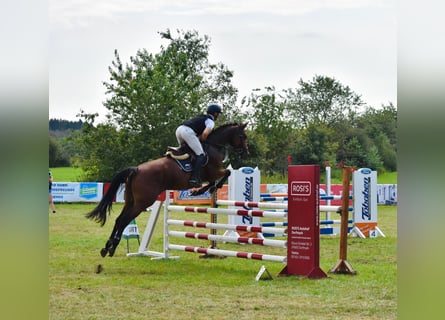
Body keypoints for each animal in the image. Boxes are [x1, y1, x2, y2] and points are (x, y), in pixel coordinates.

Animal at [85, 122, 248, 258]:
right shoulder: (213, 172)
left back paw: (107, 247)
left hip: (130, 201)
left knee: (119, 219)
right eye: (242, 136)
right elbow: (227, 173)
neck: (212, 145)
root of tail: (136, 169)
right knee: (124, 220)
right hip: (143, 202)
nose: (246, 153)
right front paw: (201, 190)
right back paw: (112, 247)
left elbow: (217, 180)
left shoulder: (211, 174)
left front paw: (200, 191)